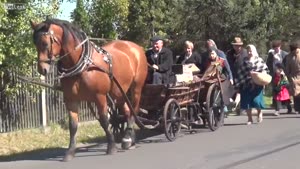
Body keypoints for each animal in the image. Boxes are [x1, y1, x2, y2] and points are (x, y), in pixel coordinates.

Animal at [30, 18, 148, 161]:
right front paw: (70, 151)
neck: (83, 65)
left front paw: (111, 146)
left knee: (134, 109)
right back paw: (130, 139)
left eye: (45, 43)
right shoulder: (71, 100)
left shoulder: (100, 96)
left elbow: (104, 120)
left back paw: (127, 139)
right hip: (118, 91)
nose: (42, 69)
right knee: (126, 110)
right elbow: (73, 126)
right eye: (35, 43)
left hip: (136, 87)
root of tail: (137, 47)